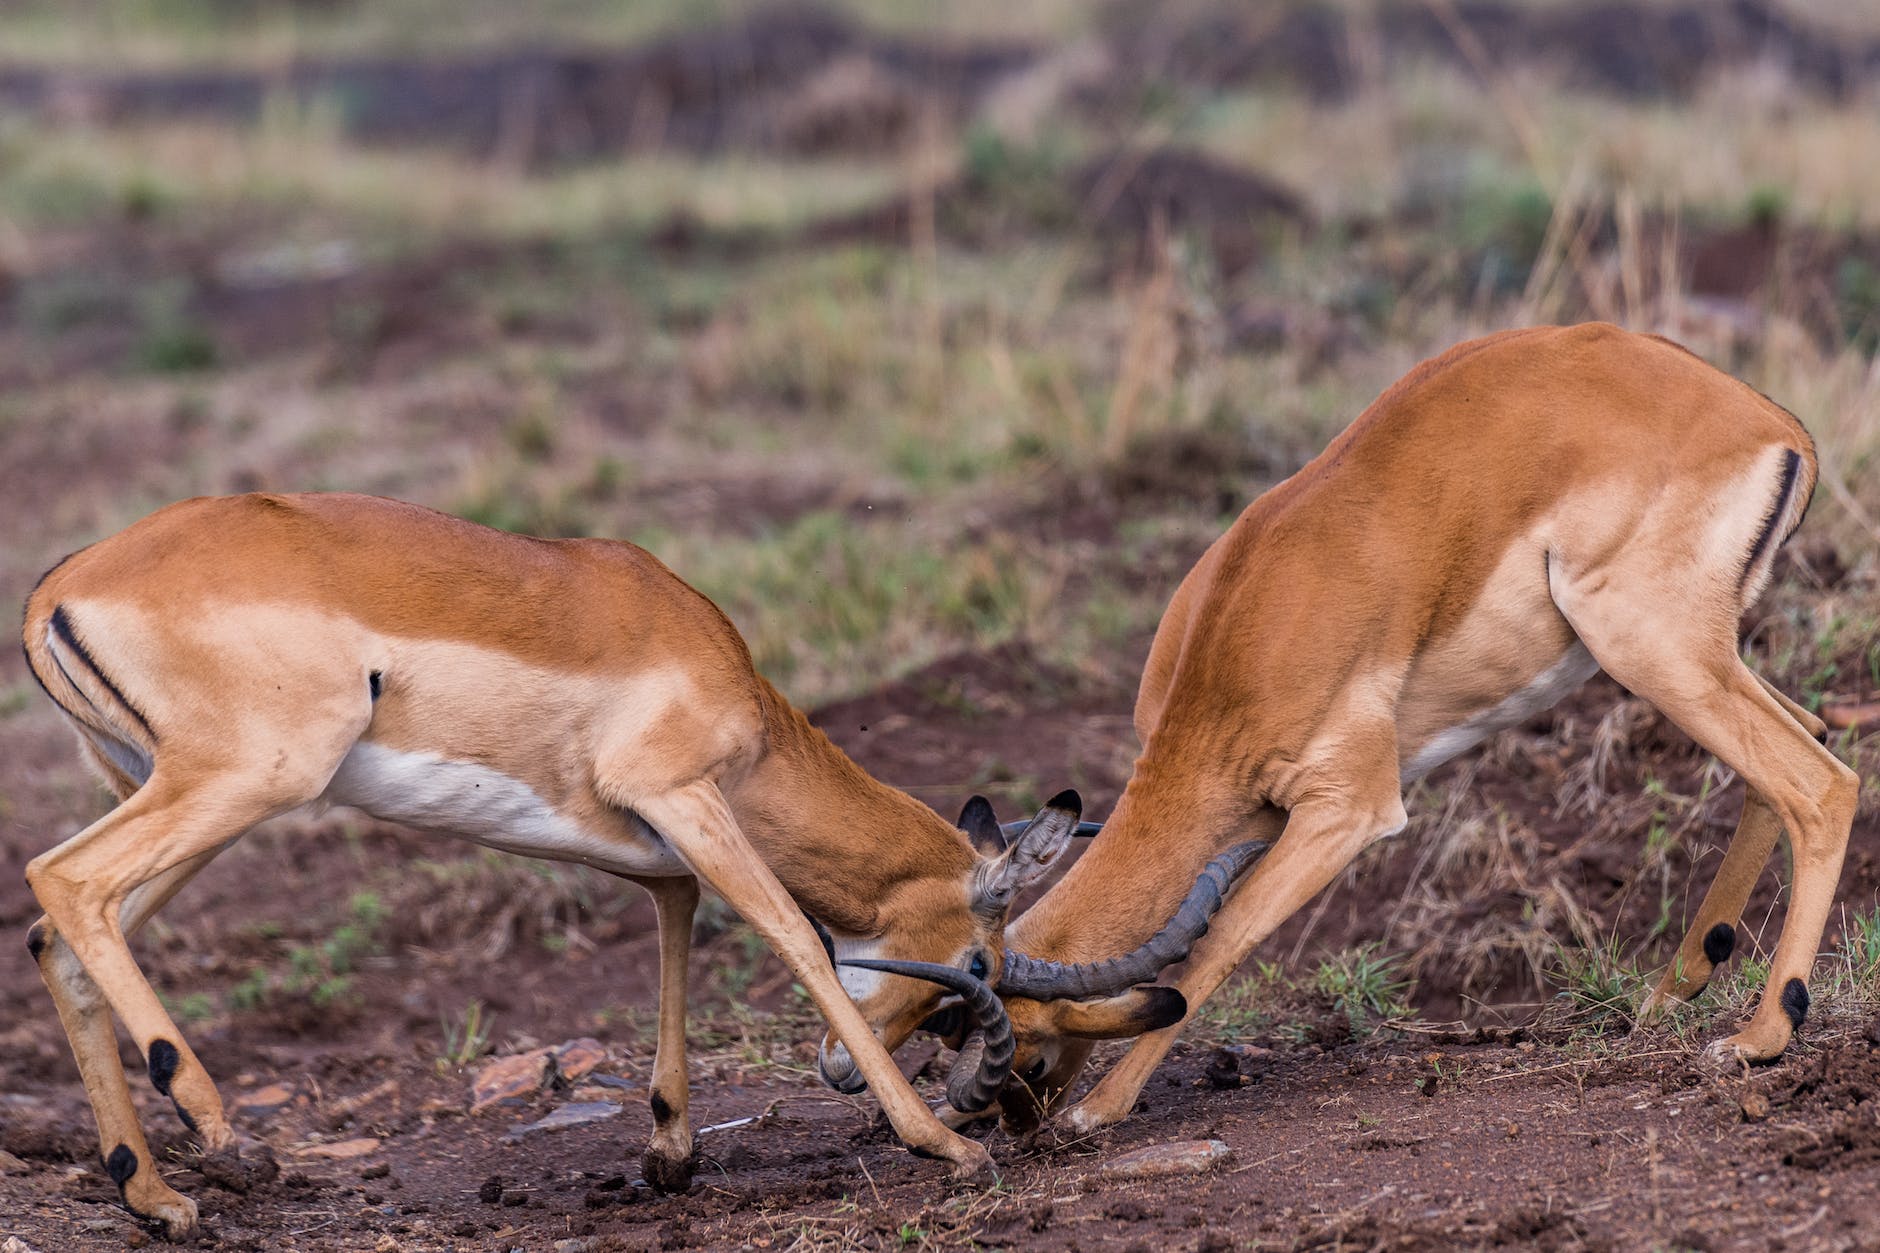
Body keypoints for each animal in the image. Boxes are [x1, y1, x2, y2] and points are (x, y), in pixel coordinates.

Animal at [17, 491, 1241, 1238]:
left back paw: (156, 1196)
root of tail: (56, 587)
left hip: (184, 792)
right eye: (976, 974)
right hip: (242, 782)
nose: (846, 1080)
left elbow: (678, 916)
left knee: (63, 933)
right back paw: (230, 1142)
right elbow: (793, 937)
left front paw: (670, 1153)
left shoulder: (650, 838)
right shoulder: (684, 793)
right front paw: (941, 1142)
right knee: (61, 882)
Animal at [968, 323, 1859, 1135]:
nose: (1015, 1123)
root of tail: (1776, 425)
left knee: (1822, 784)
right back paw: (1670, 990)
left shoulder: (1349, 808)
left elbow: (1218, 942)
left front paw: (1103, 1107)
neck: (1240, 639)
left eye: (1028, 1049)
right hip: (1695, 658)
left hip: (1650, 648)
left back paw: (1759, 1038)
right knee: (1803, 741)